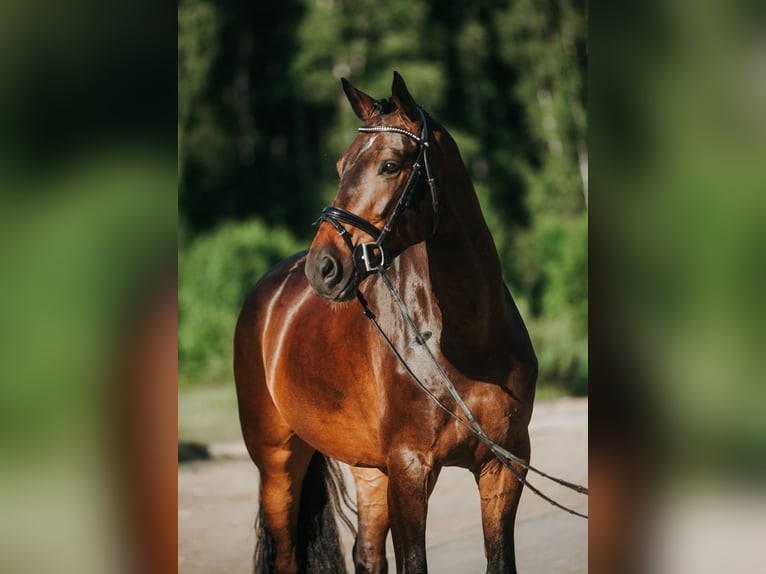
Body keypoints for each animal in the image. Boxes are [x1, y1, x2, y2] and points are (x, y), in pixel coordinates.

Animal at [234, 72, 540, 574]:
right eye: (341, 166)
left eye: (391, 165)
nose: (323, 267)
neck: (467, 342)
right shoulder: (410, 469)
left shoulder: (504, 467)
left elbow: (500, 560)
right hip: (277, 460)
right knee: (287, 553)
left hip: (369, 468)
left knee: (366, 551)